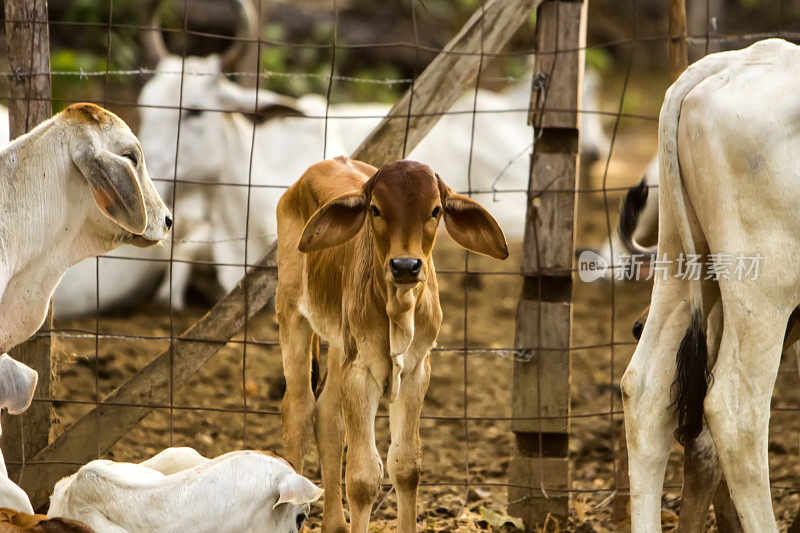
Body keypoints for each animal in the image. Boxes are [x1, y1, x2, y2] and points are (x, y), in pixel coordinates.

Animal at [278, 156, 510, 528]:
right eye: (375, 208)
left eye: (435, 210)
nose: (405, 265)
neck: (398, 310)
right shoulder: (360, 373)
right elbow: (362, 478)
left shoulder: (416, 371)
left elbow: (406, 466)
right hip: (291, 315)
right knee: (298, 411)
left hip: (340, 346)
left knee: (329, 418)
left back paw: (336, 525)